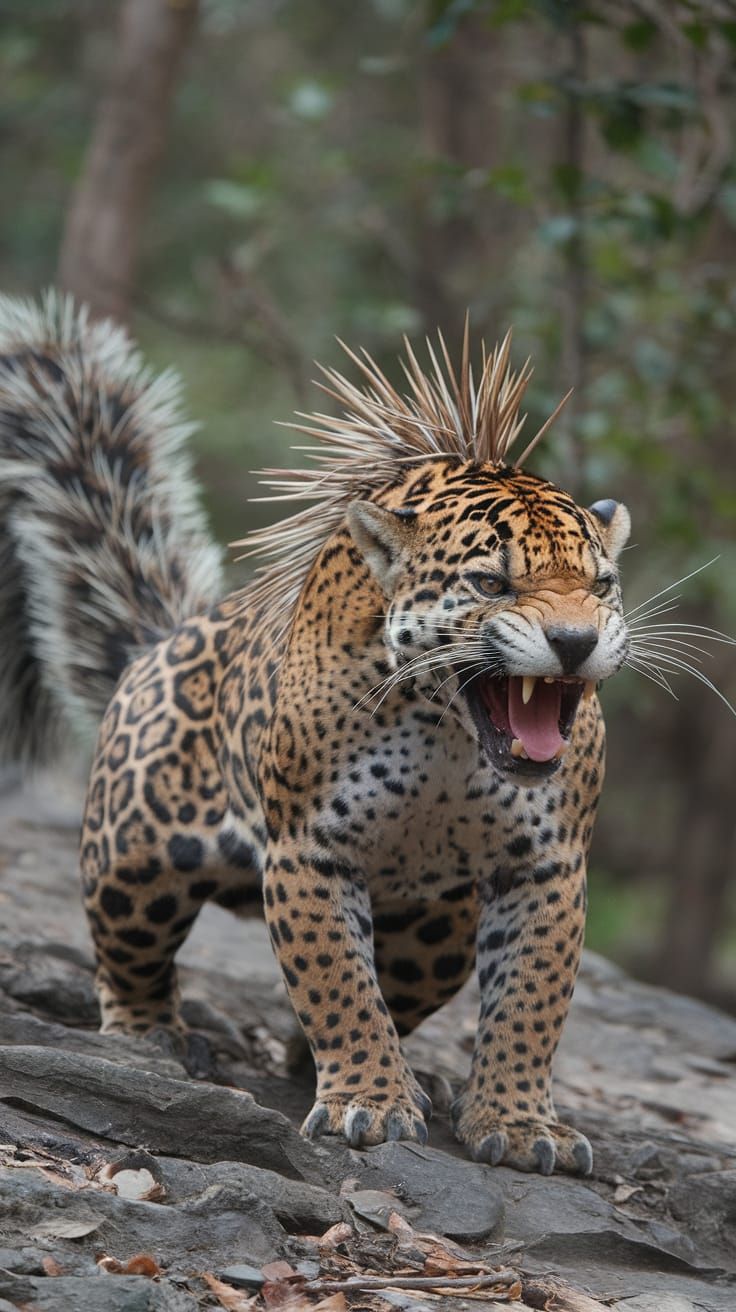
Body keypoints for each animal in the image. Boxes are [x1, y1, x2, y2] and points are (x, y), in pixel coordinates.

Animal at [0, 296, 633, 1176]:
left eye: (601, 584)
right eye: (490, 582)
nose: (575, 642)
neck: (447, 735)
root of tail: (172, 633)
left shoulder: (546, 864)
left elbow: (530, 1002)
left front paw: (515, 1120)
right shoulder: (310, 847)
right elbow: (335, 983)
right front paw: (369, 1101)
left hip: (436, 930)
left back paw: (404, 1076)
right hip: (137, 858)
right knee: (131, 955)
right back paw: (149, 1039)